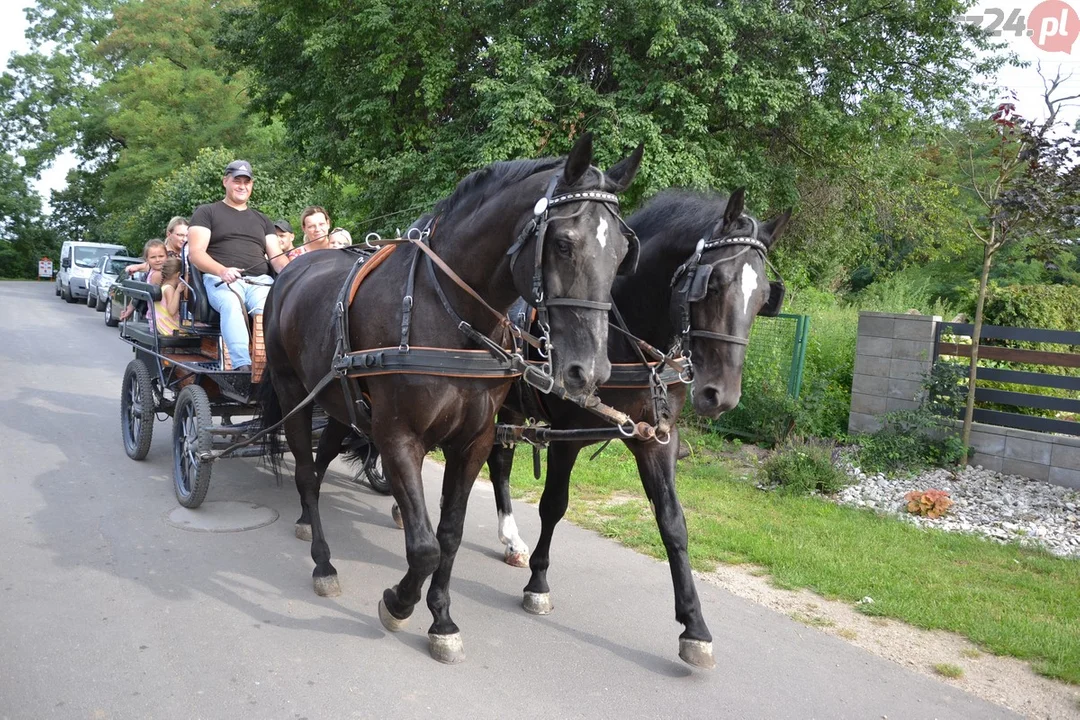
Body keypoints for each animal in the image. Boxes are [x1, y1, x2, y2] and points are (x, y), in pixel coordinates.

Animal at [258, 134, 639, 664]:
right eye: (563, 243)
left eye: (623, 252)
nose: (590, 371)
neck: (447, 313)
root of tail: (296, 268)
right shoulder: (398, 437)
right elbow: (424, 547)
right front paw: (398, 603)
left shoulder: (473, 441)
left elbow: (450, 535)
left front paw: (440, 619)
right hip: (294, 392)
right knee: (306, 476)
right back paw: (322, 562)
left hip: (339, 402)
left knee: (320, 458)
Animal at [486, 188, 790, 669]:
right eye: (714, 284)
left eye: (762, 299)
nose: (721, 396)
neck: (621, 342)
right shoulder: (566, 438)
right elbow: (554, 505)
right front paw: (539, 584)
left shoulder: (656, 440)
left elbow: (673, 523)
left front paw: (694, 627)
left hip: (512, 410)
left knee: (499, 461)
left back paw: (511, 540)